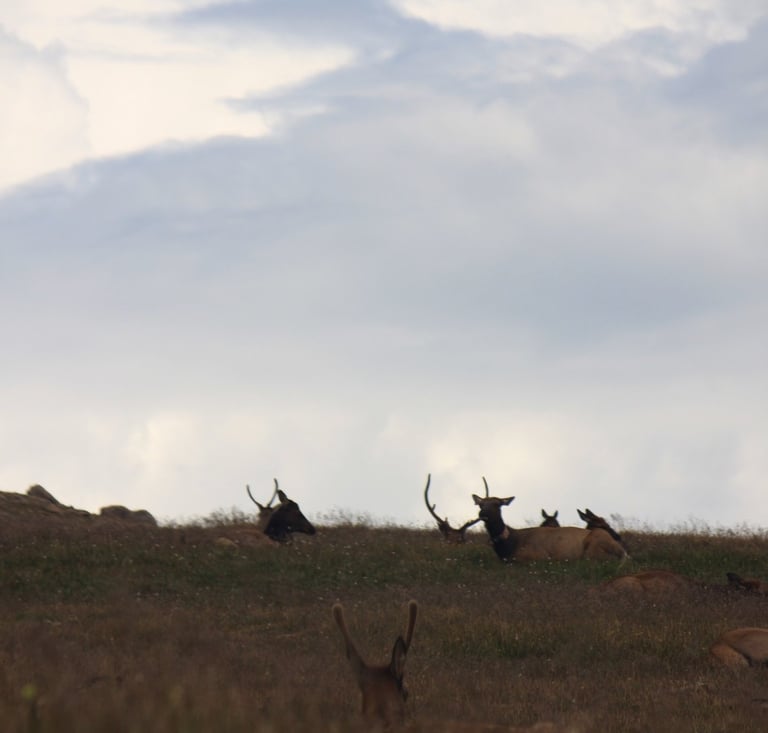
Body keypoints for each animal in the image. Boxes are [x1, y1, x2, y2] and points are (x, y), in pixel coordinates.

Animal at [472, 478, 628, 563]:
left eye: (497, 504)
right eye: (480, 504)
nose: (482, 513)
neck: (508, 546)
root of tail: (624, 553)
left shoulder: (538, 557)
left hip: (595, 545)